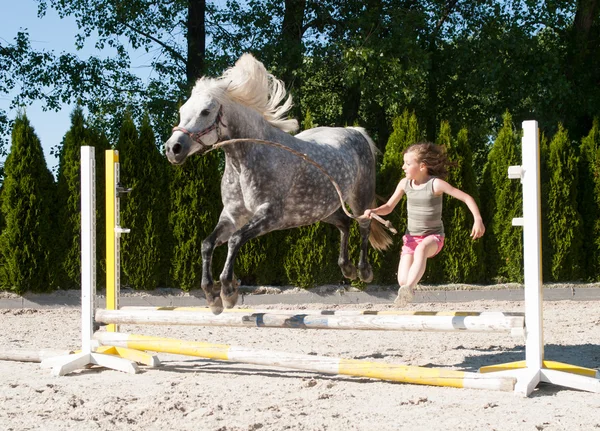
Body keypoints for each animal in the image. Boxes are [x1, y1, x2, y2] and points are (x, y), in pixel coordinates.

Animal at [164, 55, 392, 316]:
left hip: (358, 199)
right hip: (319, 211)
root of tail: (354, 131)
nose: (173, 148)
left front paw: (228, 291)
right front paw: (212, 296)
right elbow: (207, 244)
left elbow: (234, 240)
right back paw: (347, 268)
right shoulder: (232, 216)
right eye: (182, 111)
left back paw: (363, 271)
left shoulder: (270, 216)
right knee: (344, 223)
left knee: (364, 225)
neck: (244, 161)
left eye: (205, 111)